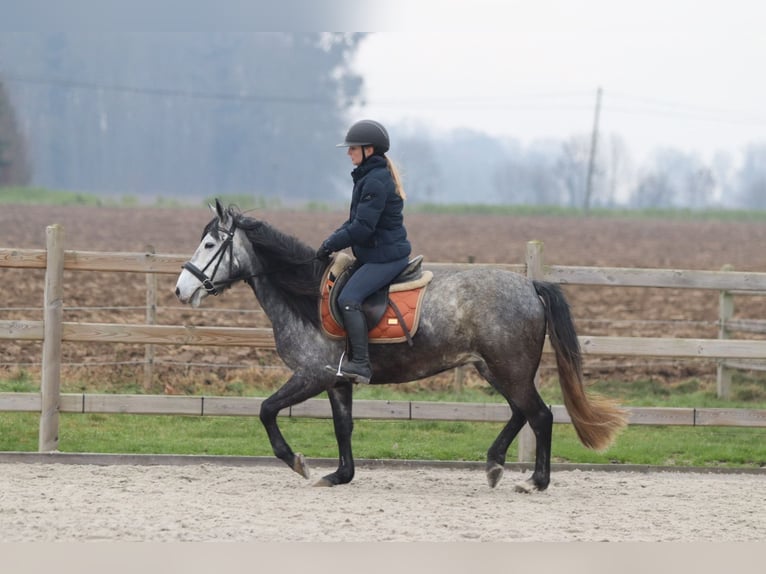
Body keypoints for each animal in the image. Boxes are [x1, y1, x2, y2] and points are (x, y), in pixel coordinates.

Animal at [175, 200, 627, 491]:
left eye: (211, 245)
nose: (181, 289)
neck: (307, 295)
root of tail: (530, 286)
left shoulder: (312, 375)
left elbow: (267, 410)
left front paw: (298, 463)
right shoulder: (337, 380)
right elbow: (342, 427)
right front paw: (340, 475)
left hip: (509, 367)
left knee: (540, 415)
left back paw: (535, 481)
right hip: (494, 367)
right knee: (522, 412)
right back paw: (495, 465)